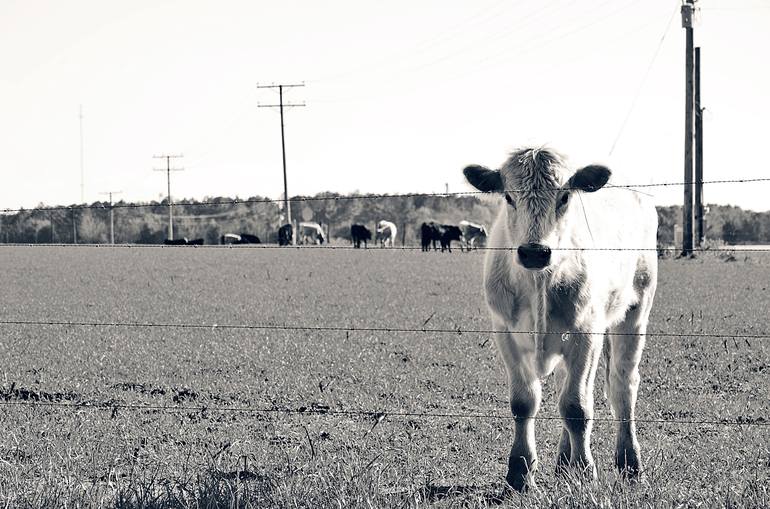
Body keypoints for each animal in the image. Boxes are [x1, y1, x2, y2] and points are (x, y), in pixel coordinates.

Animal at [462, 145, 656, 490]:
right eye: (508, 196)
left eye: (564, 196)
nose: (535, 251)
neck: (539, 280)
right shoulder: (505, 334)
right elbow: (524, 402)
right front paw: (520, 472)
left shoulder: (587, 334)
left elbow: (577, 407)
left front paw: (584, 471)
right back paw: (564, 461)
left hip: (635, 314)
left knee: (623, 388)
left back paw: (630, 463)